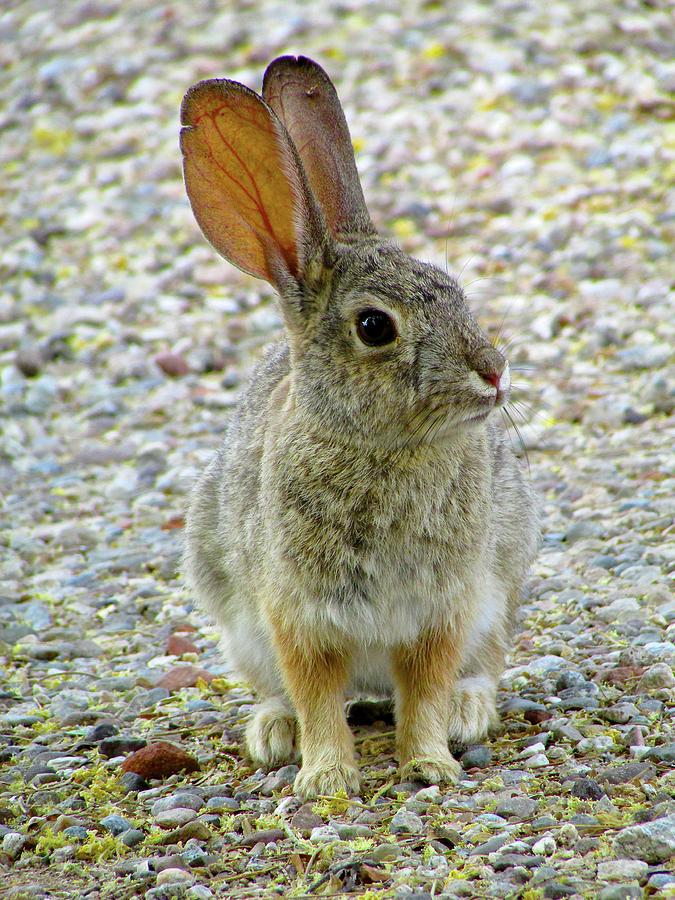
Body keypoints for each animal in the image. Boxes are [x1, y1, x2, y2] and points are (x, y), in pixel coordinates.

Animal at [180, 52, 540, 800]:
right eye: (375, 327)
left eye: (453, 290)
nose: (493, 372)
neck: (380, 449)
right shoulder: (298, 617)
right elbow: (318, 695)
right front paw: (324, 780)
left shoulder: (443, 610)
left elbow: (425, 689)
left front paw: (430, 762)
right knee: (284, 691)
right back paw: (273, 732)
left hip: (500, 593)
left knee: (478, 668)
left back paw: (467, 714)